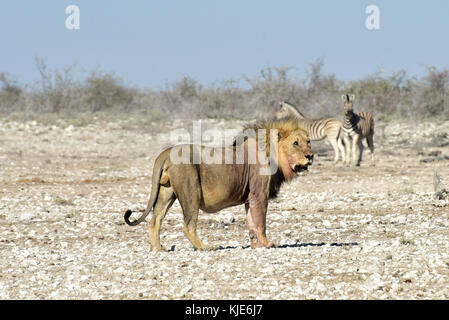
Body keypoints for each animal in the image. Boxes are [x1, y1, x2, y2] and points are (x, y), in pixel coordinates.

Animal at [122, 119, 312, 251]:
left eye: (308, 141)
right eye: (295, 143)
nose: (310, 156)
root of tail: (166, 152)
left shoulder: (250, 198)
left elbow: (251, 222)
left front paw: (256, 245)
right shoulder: (259, 195)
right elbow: (261, 223)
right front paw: (267, 243)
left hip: (166, 193)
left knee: (155, 221)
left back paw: (157, 249)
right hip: (191, 192)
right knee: (188, 225)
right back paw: (205, 247)